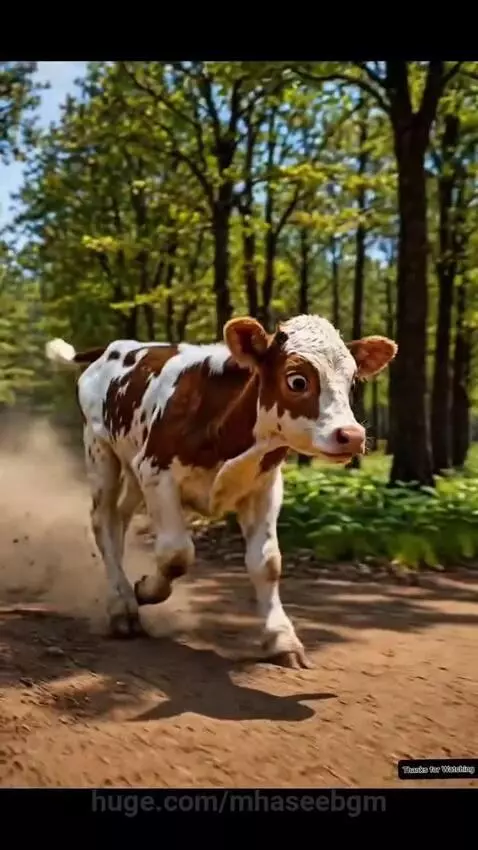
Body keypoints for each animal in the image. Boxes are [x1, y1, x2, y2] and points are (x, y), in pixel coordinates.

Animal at [45, 314, 397, 668]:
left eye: (352, 382)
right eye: (297, 380)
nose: (352, 435)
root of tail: (114, 347)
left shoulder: (265, 488)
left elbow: (267, 563)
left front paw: (281, 638)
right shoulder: (156, 473)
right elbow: (175, 554)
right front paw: (145, 590)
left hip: (131, 469)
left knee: (120, 520)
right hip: (100, 450)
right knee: (103, 520)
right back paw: (122, 606)